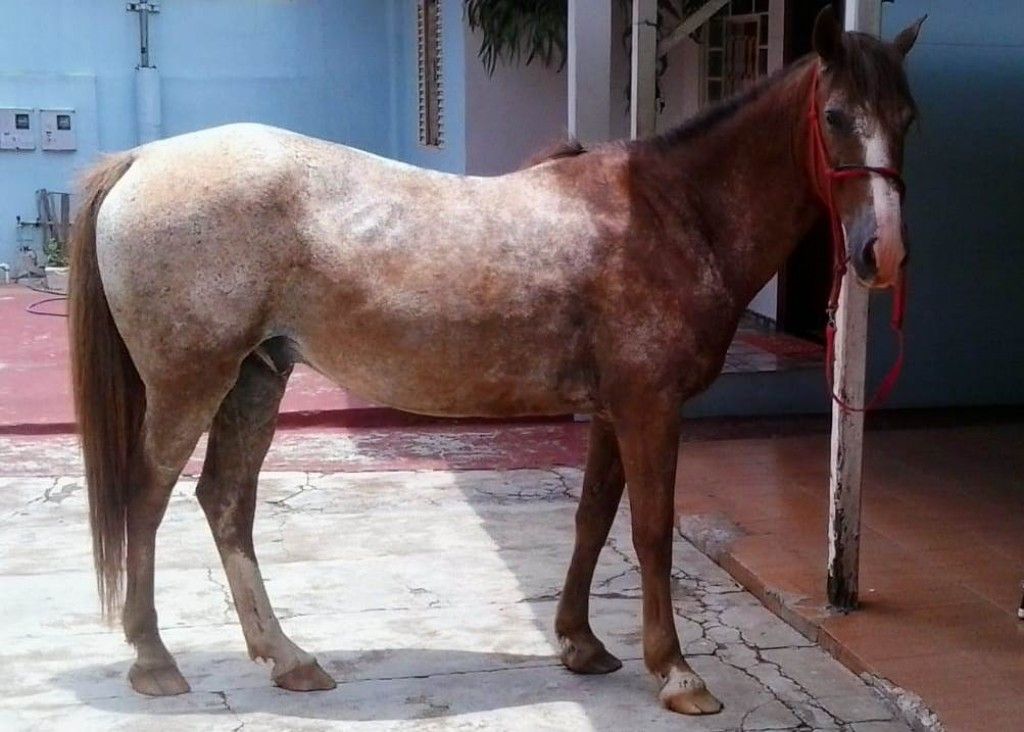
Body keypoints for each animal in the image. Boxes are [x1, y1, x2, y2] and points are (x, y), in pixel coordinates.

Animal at [70, 5, 921, 716]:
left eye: (907, 117)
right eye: (836, 116)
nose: (882, 255)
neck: (674, 215)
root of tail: (140, 160)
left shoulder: (613, 411)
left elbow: (592, 518)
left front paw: (581, 643)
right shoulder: (650, 409)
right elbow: (651, 531)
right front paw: (677, 672)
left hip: (256, 377)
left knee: (226, 502)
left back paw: (288, 658)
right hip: (190, 383)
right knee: (146, 496)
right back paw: (154, 661)